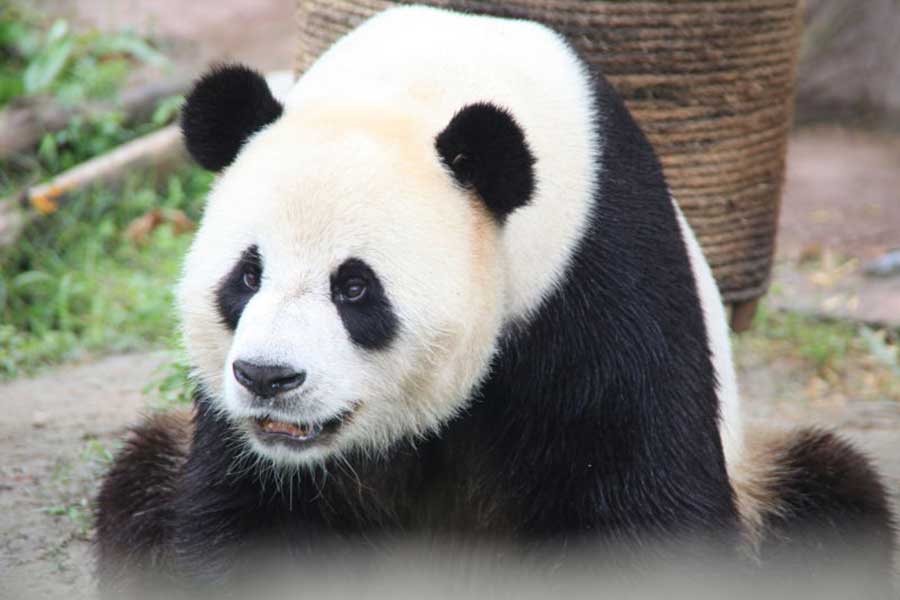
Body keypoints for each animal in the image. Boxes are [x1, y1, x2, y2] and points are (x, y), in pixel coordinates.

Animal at [93, 4, 892, 596]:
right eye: (246, 277)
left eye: (355, 288)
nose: (267, 378)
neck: (419, 85)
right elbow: (246, 514)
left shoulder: (600, 278)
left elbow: (646, 502)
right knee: (138, 485)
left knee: (830, 499)